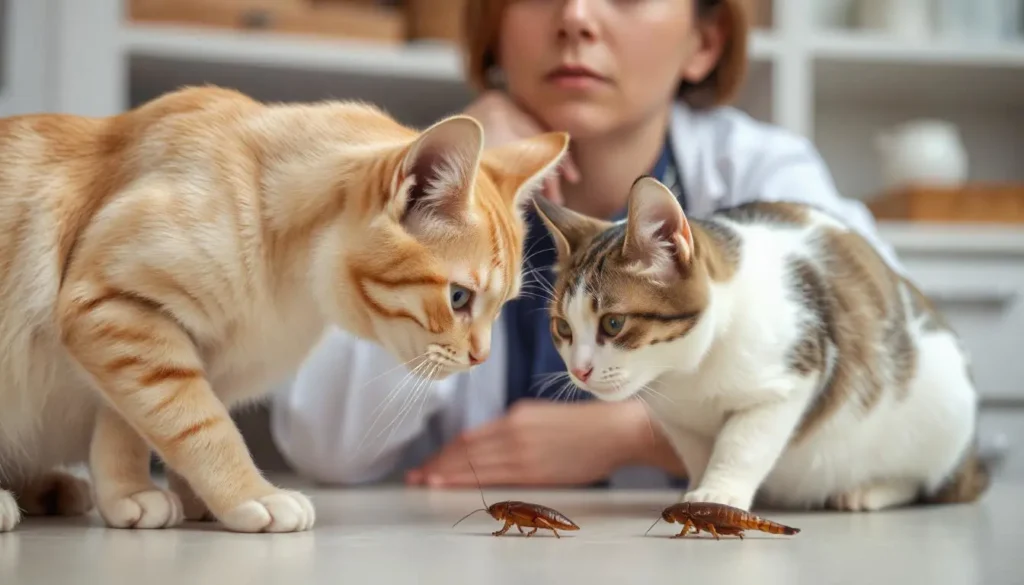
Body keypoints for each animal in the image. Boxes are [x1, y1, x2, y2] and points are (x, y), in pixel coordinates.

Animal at [0, 84, 569, 532]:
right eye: (459, 298)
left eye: (501, 306)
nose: (481, 358)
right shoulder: (113, 306)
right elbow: (197, 423)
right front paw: (248, 494)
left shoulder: (141, 338)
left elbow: (126, 422)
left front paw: (135, 494)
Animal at [536, 177, 991, 512]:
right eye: (563, 328)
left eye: (613, 323)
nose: (579, 370)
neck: (688, 373)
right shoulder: (678, 420)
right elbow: (698, 450)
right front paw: (698, 484)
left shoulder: (788, 381)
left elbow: (741, 445)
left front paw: (720, 491)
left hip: (941, 409)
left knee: (926, 479)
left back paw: (872, 489)